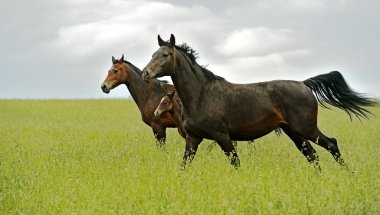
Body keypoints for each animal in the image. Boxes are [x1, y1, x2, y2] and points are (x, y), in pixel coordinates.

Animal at [143, 34, 378, 168]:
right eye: (153, 53)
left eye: (164, 55)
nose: (146, 73)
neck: (200, 95)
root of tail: (304, 84)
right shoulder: (193, 139)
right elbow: (184, 166)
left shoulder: (222, 137)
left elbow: (236, 164)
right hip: (294, 132)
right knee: (312, 155)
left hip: (306, 128)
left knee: (331, 144)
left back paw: (347, 175)